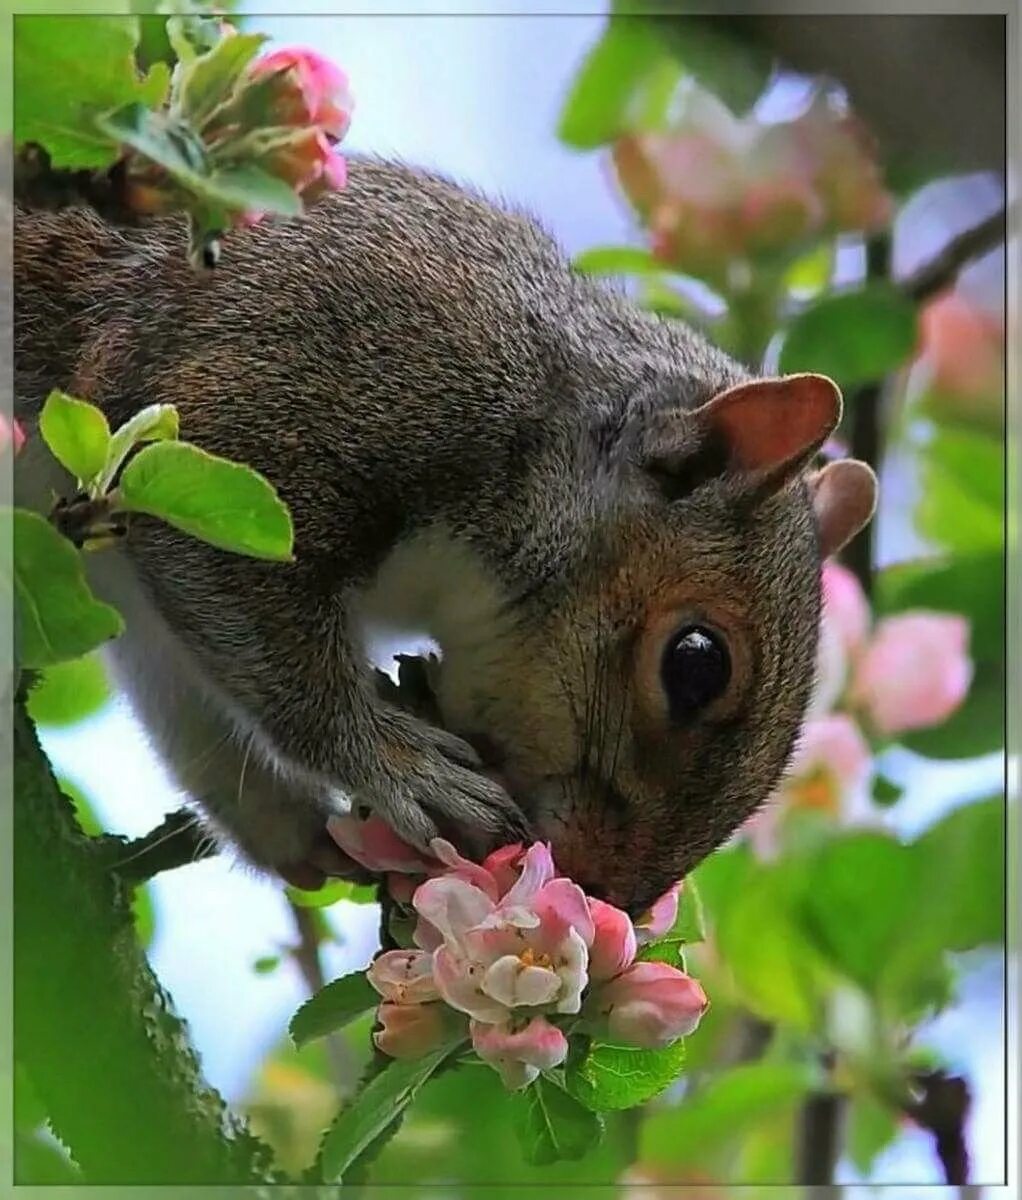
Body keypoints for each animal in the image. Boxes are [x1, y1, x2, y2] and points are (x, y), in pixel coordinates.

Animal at [11, 154, 873, 912]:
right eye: (697, 664)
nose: (600, 892)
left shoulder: (126, 569)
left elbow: (184, 703)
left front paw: (289, 828)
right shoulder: (285, 401)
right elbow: (267, 647)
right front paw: (399, 765)